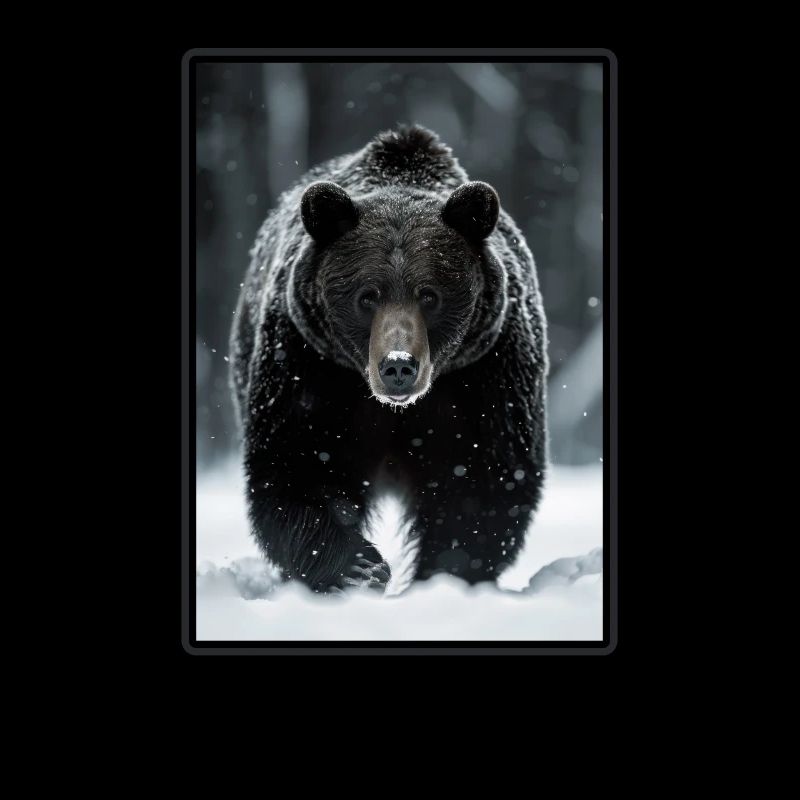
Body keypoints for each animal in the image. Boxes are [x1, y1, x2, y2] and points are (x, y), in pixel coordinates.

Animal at [229, 125, 548, 594]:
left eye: (430, 295)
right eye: (367, 296)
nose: (398, 365)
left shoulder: (486, 373)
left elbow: (481, 481)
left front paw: (446, 573)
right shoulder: (310, 366)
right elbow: (300, 465)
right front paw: (360, 566)